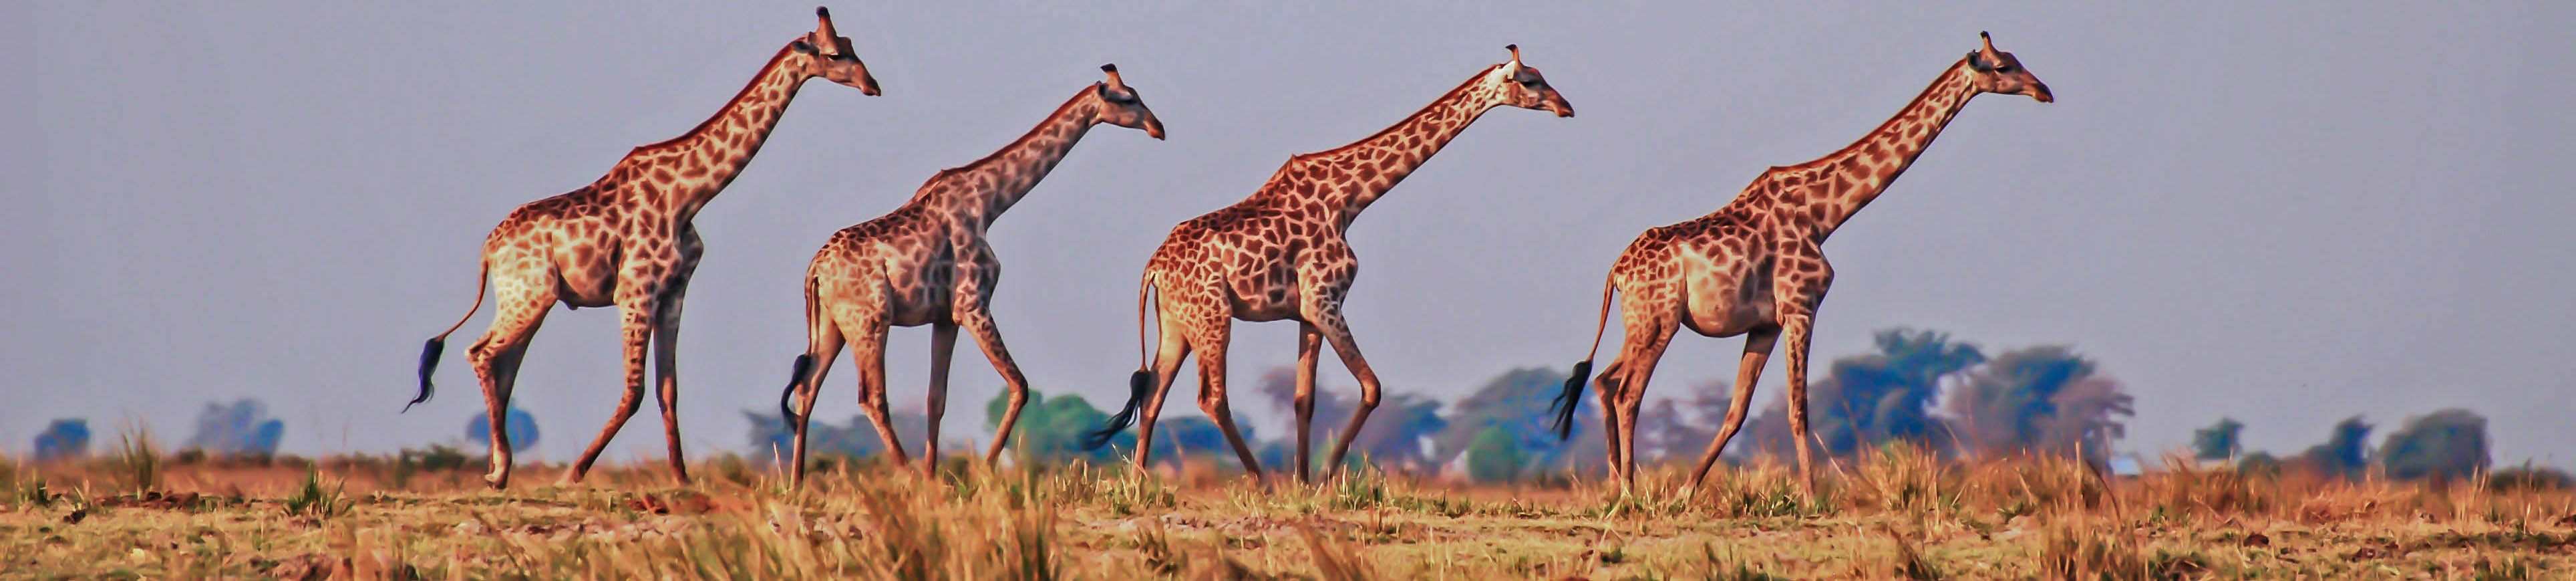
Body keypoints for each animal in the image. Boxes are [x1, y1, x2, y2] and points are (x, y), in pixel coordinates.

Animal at [407, 7, 880, 490]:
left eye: (852, 46)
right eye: (834, 54)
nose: (873, 86)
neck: (688, 196)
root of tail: (489, 249)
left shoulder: (672, 293)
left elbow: (668, 389)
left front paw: (682, 477)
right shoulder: (634, 291)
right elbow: (633, 390)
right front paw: (574, 473)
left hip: (530, 300)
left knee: (501, 363)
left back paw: (499, 471)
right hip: (530, 295)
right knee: (482, 353)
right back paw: (500, 468)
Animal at [768, 64, 1164, 483]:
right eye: (1128, 98)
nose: (1158, 128)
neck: (988, 204)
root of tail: (815, 269)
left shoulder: (944, 317)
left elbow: (936, 399)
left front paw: (934, 479)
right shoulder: (972, 304)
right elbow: (1019, 385)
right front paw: (982, 472)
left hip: (831, 322)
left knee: (807, 388)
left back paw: (797, 483)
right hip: (869, 321)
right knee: (871, 396)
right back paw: (904, 476)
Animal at [1082, 45, 1566, 483]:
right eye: (1530, 81)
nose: (1567, 107)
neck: (1349, 200)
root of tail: (1153, 267)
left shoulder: (1306, 313)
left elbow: (1304, 399)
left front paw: (1303, 482)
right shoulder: (1325, 300)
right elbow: (1372, 387)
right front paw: (1326, 476)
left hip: (1176, 323)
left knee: (1154, 393)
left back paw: (1139, 484)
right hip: (1213, 317)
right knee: (1211, 398)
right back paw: (1260, 481)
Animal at [1545, 33, 2050, 490]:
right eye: (2003, 67)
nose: (2044, 90)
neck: (1823, 214)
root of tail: (1616, 271)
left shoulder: (1765, 323)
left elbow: (1737, 411)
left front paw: (1687, 490)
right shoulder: (1801, 306)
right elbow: (1798, 408)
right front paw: (1810, 496)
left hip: (1640, 321)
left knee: (1605, 382)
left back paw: (1618, 485)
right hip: (1659, 320)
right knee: (1628, 393)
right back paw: (1631, 489)